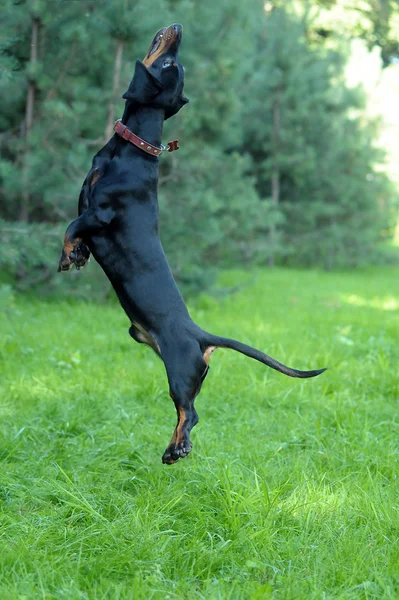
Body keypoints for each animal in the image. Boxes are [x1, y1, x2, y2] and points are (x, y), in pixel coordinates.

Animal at [59, 24, 326, 464]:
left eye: (169, 63)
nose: (177, 28)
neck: (132, 151)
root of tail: (201, 335)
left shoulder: (99, 213)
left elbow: (69, 226)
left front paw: (66, 257)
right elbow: (73, 231)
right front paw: (78, 255)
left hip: (179, 371)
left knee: (190, 413)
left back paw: (175, 449)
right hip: (165, 353)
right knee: (191, 410)